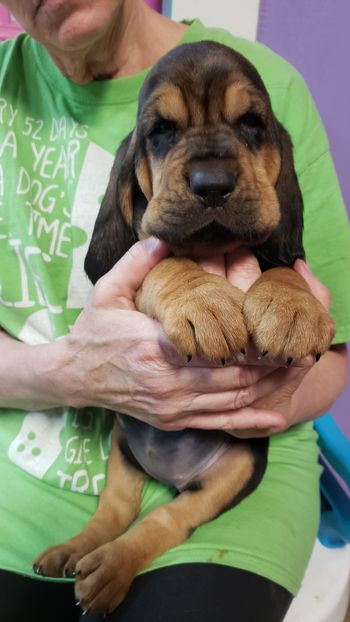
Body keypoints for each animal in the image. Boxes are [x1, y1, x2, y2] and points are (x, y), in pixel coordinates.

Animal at [34, 41, 334, 616]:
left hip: (236, 470)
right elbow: (165, 263)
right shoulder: (140, 261)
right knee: (116, 509)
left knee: (166, 520)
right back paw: (78, 552)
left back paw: (109, 567)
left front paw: (293, 308)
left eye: (252, 123)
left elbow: (283, 266)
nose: (211, 185)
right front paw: (204, 302)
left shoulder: (275, 252)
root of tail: (167, 474)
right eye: (161, 131)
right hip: (123, 448)